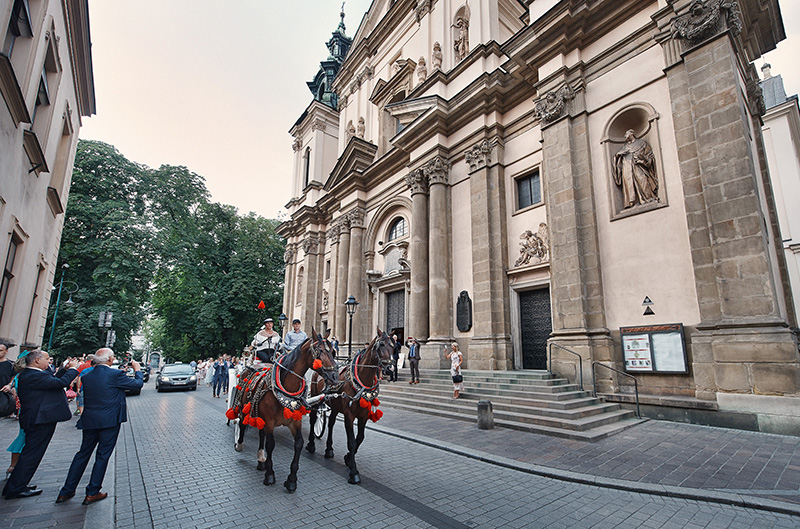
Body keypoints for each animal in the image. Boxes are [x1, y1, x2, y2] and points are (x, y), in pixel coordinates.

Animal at [228, 326, 338, 490]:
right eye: (318, 351)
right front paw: (270, 475)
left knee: (260, 433)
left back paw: (261, 459)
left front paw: (291, 480)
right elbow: (271, 444)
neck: (287, 387)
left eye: (333, 351)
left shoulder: (294, 421)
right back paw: (240, 444)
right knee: (240, 422)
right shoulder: (269, 422)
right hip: (243, 405)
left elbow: (298, 444)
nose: (335, 376)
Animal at [304, 328, 396, 484]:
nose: (390, 368)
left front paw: (348, 458)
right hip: (316, 400)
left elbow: (360, 438)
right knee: (312, 419)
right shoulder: (349, 415)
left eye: (393, 346)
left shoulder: (363, 415)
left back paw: (329, 449)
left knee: (331, 423)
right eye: (382, 344)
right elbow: (352, 441)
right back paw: (311, 444)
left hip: (335, 406)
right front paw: (353, 471)